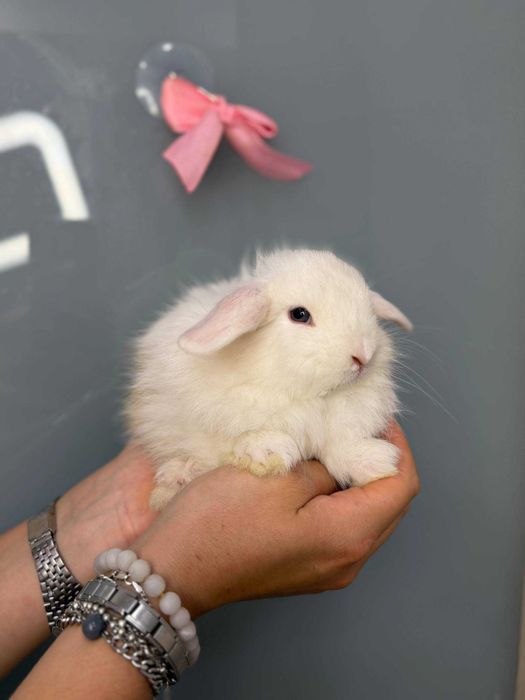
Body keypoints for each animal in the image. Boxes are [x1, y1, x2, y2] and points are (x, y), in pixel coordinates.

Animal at [125, 247, 413, 511]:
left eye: (368, 309)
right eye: (299, 314)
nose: (363, 355)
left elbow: (339, 445)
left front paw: (375, 463)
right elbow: (231, 439)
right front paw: (266, 452)